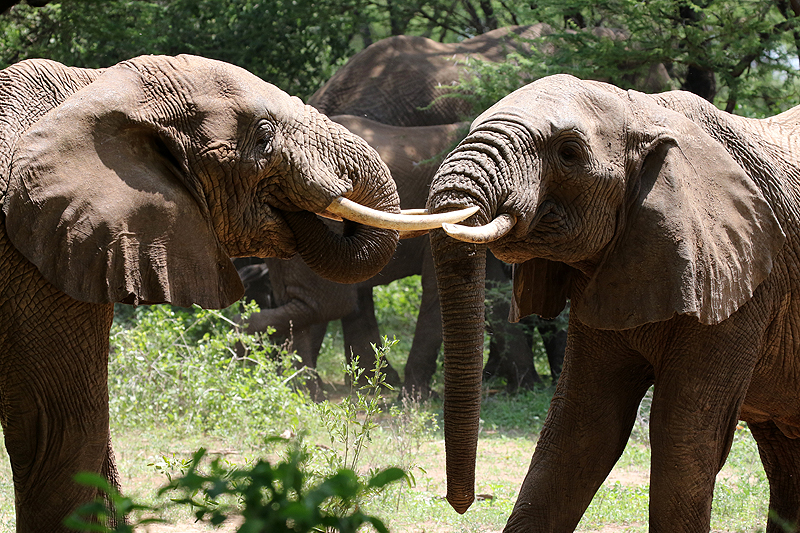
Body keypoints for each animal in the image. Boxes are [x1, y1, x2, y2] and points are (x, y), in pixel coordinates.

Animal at [428, 72, 800, 528]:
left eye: (569, 154)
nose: (462, 503)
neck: (645, 109)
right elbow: (581, 430)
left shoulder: (743, 283)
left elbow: (683, 436)